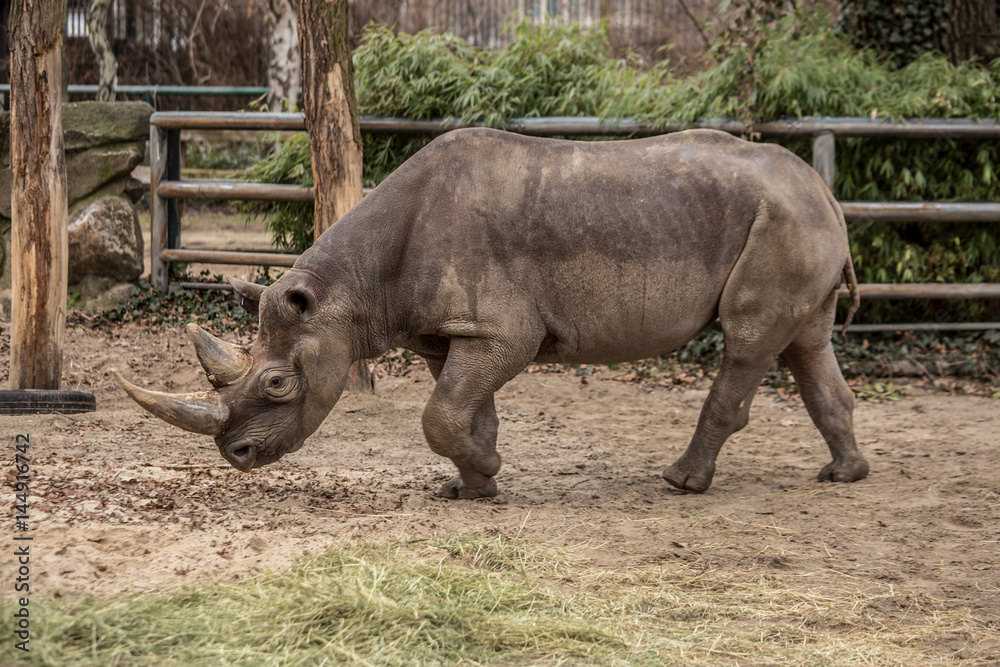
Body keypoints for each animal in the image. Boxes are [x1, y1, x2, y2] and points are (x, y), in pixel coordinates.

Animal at [117, 128, 869, 497]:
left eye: (276, 384)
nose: (237, 456)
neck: (345, 291)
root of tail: (825, 192)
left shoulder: (504, 329)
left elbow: (441, 414)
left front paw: (489, 469)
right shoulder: (445, 331)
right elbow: (460, 409)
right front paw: (475, 481)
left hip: (781, 224)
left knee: (748, 341)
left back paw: (681, 483)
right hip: (794, 222)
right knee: (806, 342)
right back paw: (844, 476)